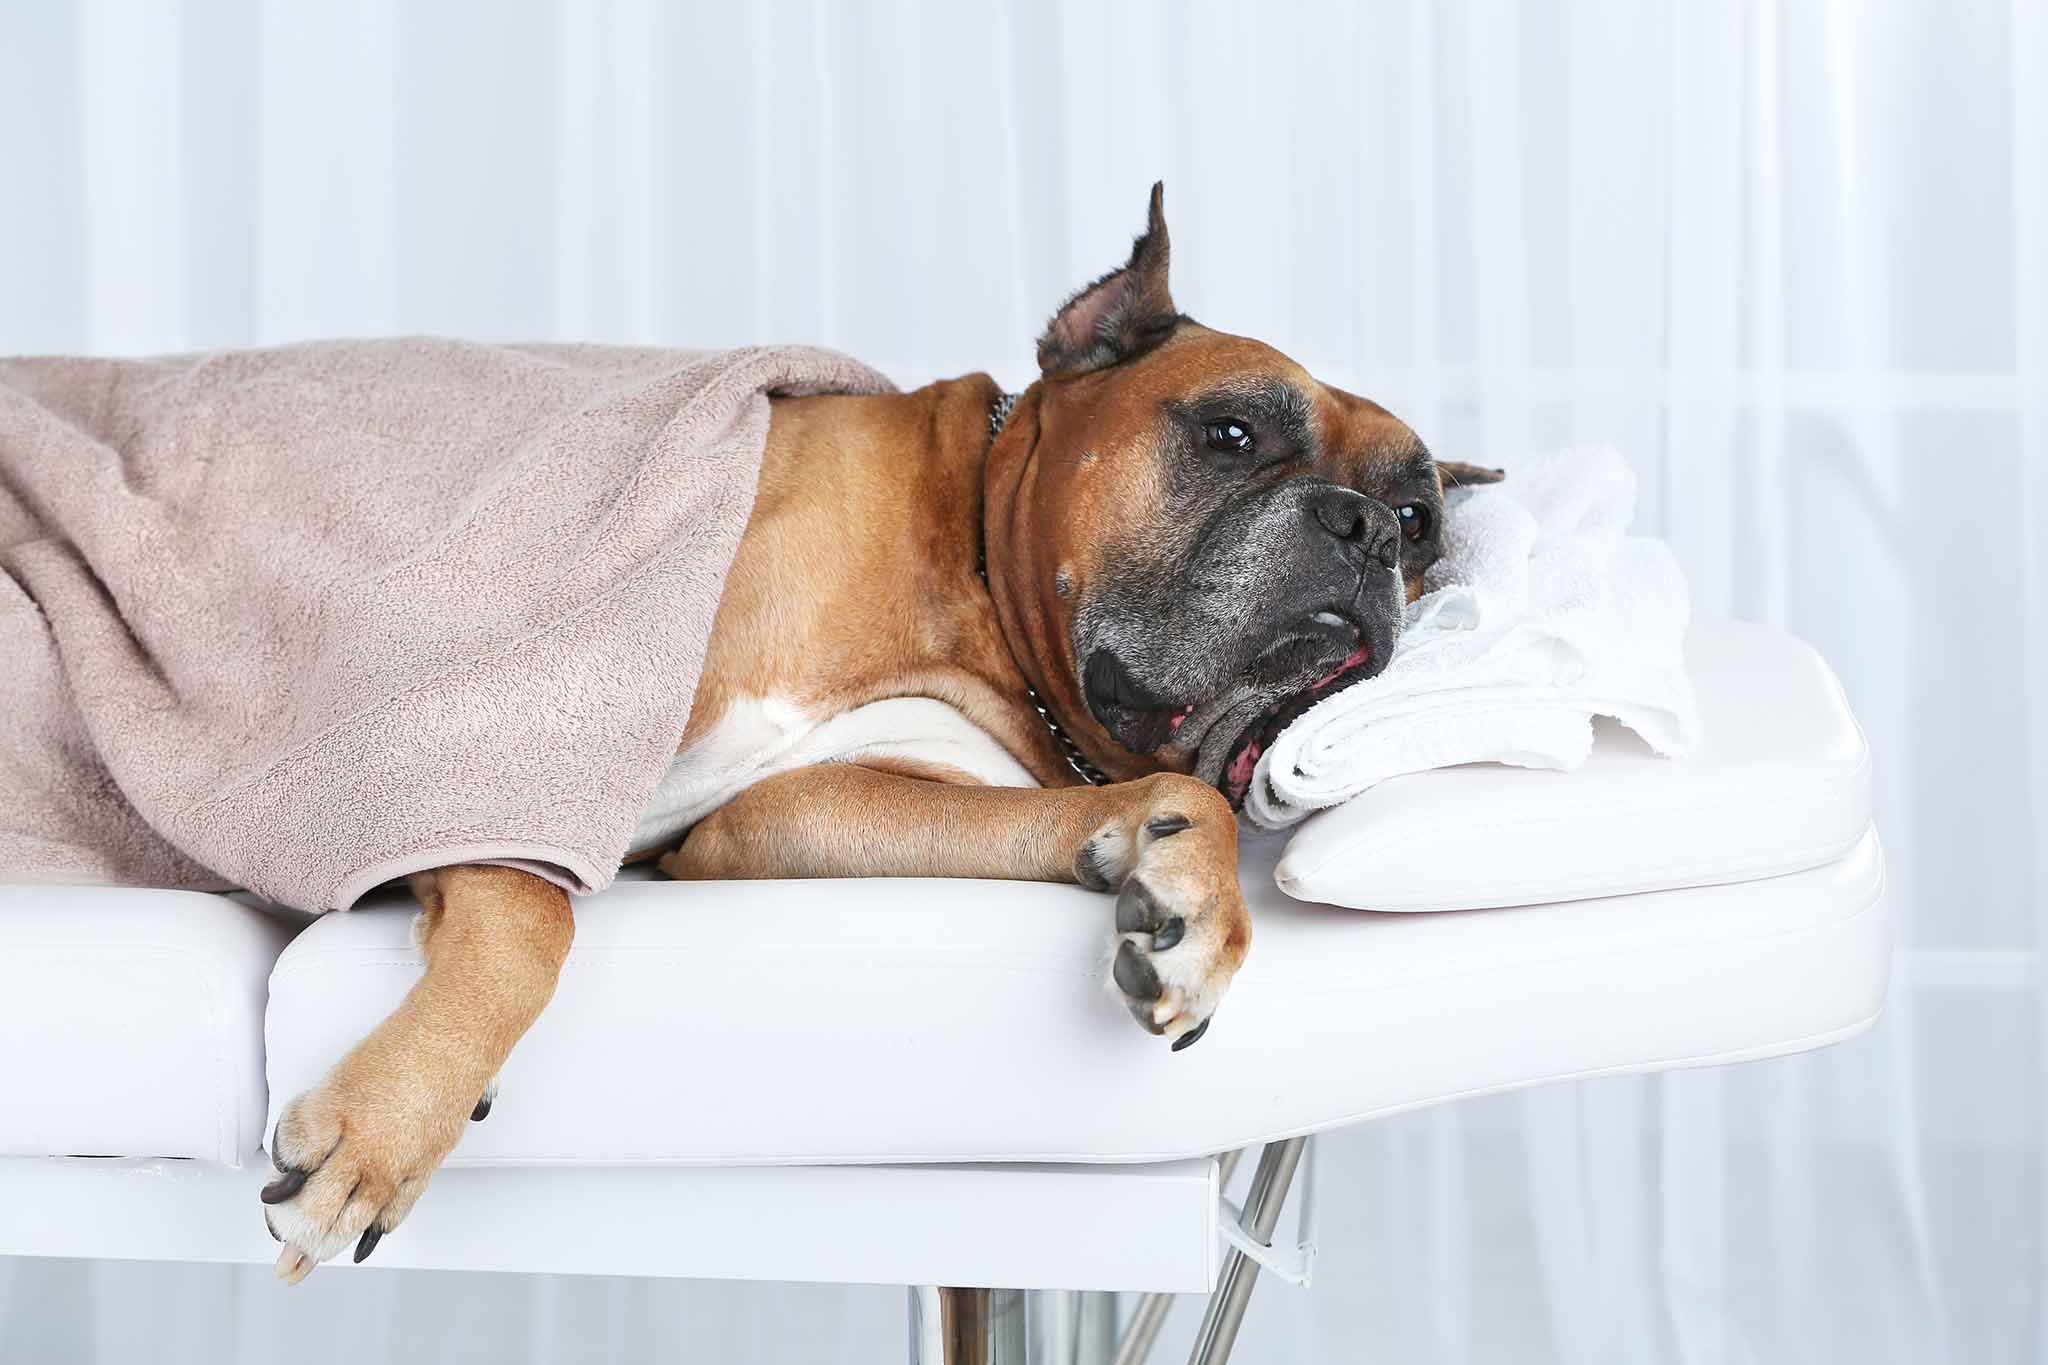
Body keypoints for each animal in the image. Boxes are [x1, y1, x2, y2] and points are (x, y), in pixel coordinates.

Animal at [260, 184, 1507, 1285]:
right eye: (1230, 432)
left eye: (1417, 522)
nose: (1363, 530)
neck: (959, 570)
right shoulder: (496, 731)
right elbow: (529, 915)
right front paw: (383, 1131)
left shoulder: (786, 817)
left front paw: (1186, 899)